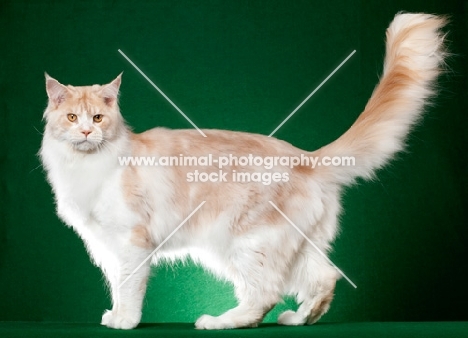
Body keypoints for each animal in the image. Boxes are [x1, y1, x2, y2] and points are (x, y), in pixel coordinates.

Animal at [42, 13, 448, 330]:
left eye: (98, 118)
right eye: (72, 118)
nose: (86, 132)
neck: (87, 166)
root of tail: (306, 157)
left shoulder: (131, 242)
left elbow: (128, 287)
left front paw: (125, 321)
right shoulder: (105, 245)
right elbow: (116, 284)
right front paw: (115, 316)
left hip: (244, 244)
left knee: (265, 296)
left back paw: (220, 321)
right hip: (296, 246)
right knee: (324, 279)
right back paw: (299, 319)